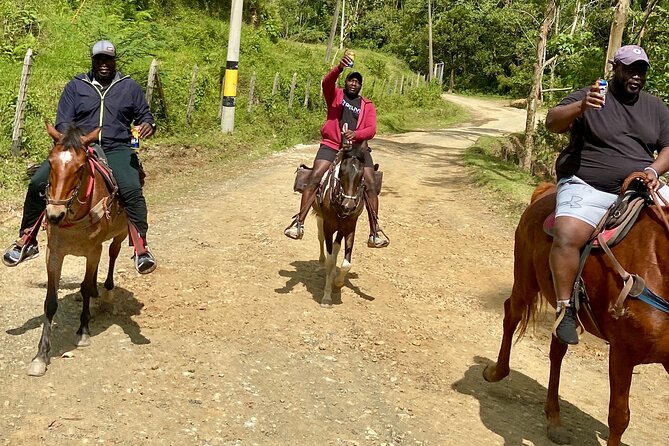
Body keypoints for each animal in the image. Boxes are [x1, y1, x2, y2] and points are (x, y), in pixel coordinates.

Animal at [28, 123, 129, 376]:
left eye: (81, 167)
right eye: (50, 162)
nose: (54, 215)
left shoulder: (93, 250)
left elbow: (83, 288)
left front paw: (83, 331)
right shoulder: (54, 254)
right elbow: (50, 301)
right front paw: (40, 356)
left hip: (120, 234)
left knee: (112, 253)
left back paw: (107, 292)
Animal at [312, 143, 366, 306]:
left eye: (361, 175)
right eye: (341, 172)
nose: (348, 206)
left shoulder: (349, 227)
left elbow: (346, 263)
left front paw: (338, 283)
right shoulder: (328, 226)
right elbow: (330, 261)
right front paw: (326, 297)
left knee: (336, 248)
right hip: (320, 219)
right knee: (321, 239)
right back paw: (321, 260)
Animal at [482, 182, 668, 446]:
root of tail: (545, 191)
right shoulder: (622, 354)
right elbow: (619, 417)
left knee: (556, 351)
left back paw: (554, 418)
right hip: (526, 281)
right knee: (511, 314)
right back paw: (497, 372)